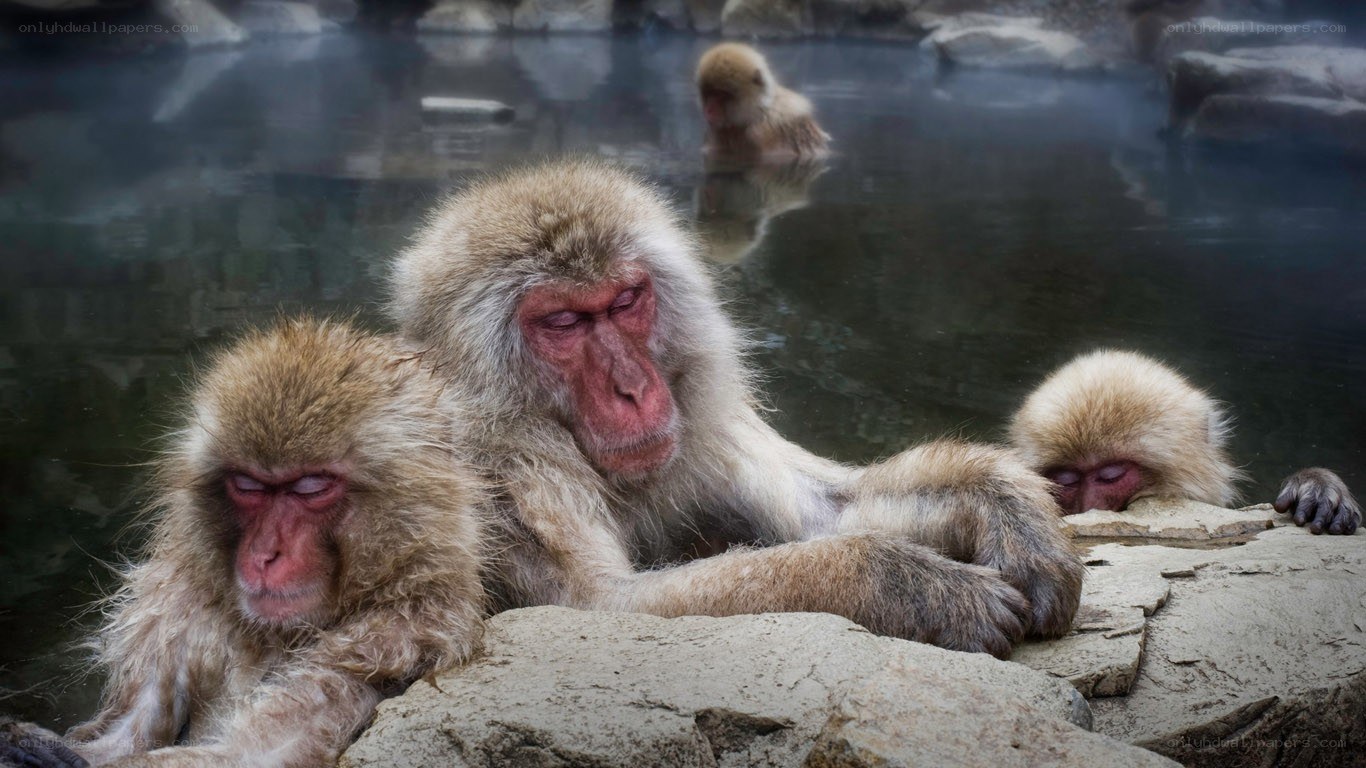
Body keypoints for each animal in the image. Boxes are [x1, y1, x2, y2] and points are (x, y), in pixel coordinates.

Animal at [0, 317, 486, 767]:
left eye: (310, 487)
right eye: (248, 486)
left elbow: (245, 754)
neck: (276, 636)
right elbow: (118, 738)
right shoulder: (177, 613)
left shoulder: (393, 640)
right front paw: (27, 744)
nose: (265, 554)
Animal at [388, 158, 1083, 660]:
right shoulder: (499, 464)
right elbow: (602, 610)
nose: (632, 389)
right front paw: (908, 585)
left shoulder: (701, 421)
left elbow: (824, 510)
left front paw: (1009, 510)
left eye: (625, 301)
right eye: (563, 322)